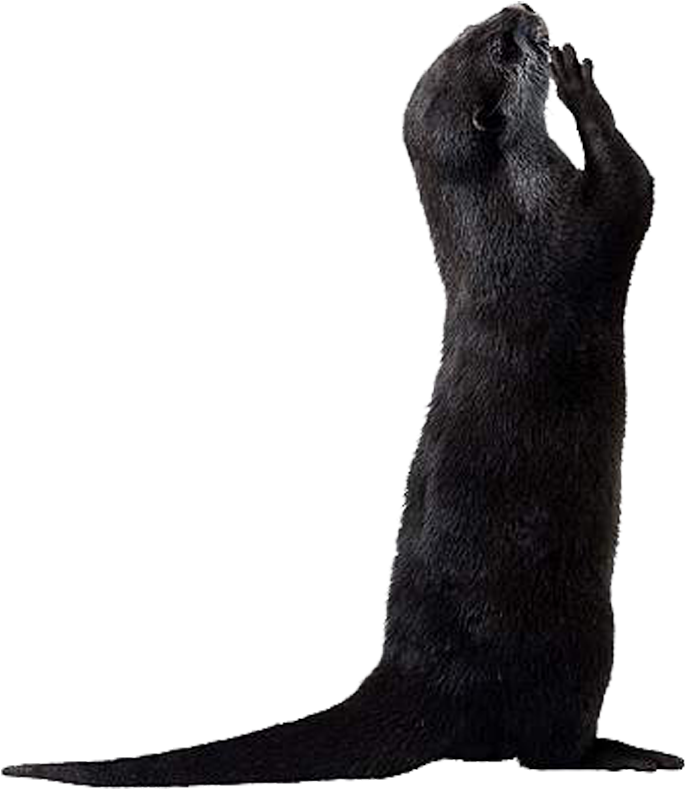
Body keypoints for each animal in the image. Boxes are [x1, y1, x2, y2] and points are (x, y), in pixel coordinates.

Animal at [3, 3, 681, 782]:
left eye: (474, 24)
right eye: (500, 47)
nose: (522, 11)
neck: (507, 215)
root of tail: (414, 677)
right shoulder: (576, 231)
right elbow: (634, 186)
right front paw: (577, 81)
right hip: (583, 637)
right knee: (543, 748)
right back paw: (627, 752)